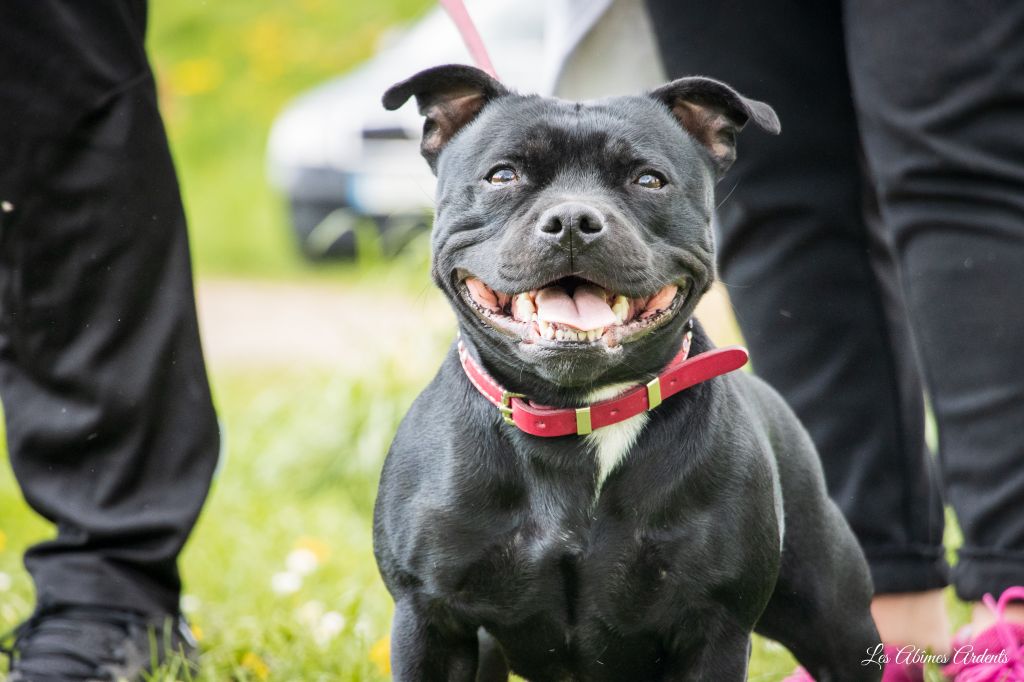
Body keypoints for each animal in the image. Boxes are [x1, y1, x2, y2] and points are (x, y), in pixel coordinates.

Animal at [376, 65, 880, 679]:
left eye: (649, 180)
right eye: (502, 175)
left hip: (836, 621)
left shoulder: (714, 628)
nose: (572, 220)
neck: (577, 415)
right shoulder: (429, 620)